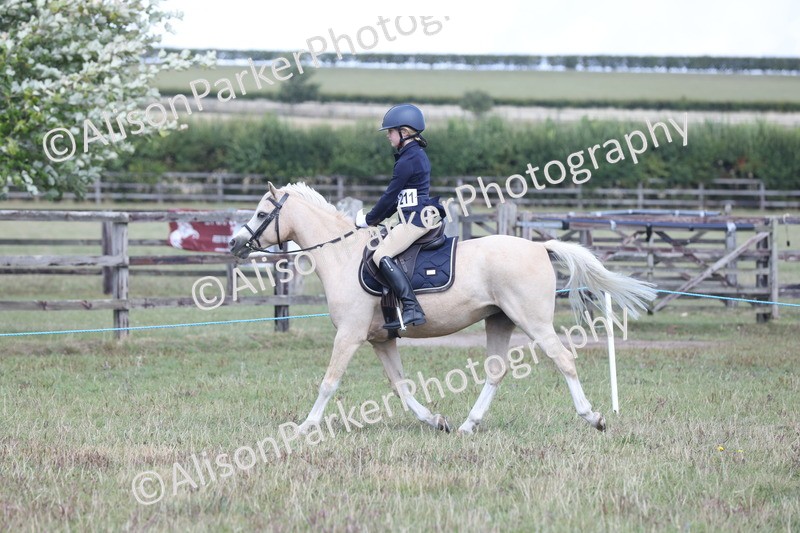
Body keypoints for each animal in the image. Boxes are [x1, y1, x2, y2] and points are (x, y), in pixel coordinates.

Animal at [229, 182, 656, 434]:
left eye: (261, 213)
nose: (234, 244)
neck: (343, 255)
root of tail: (540, 246)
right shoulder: (381, 340)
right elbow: (400, 385)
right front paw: (435, 420)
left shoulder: (349, 334)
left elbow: (329, 382)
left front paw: (305, 427)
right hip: (499, 321)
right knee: (496, 371)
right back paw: (469, 424)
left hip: (532, 321)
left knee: (564, 360)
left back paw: (594, 417)